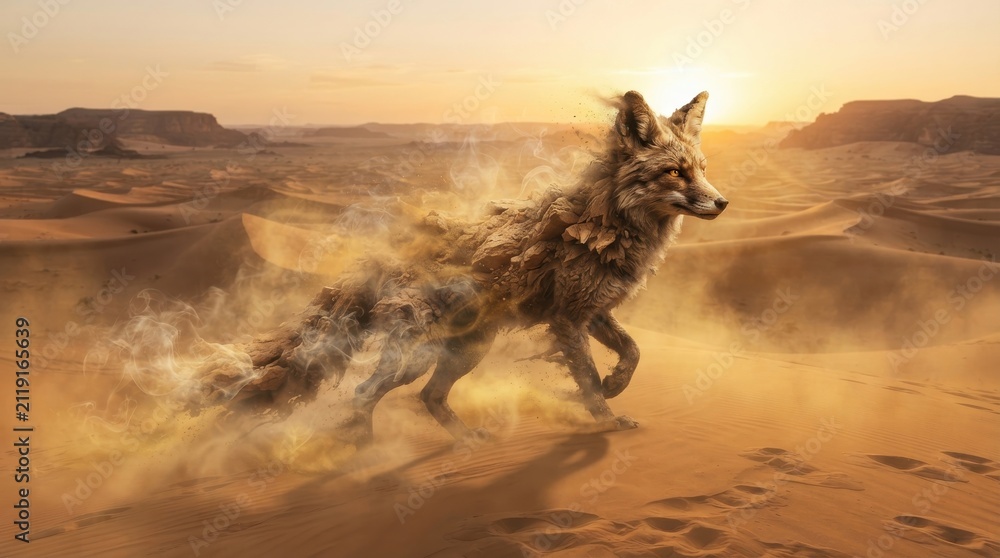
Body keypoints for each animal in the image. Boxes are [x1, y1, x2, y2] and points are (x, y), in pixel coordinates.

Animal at [232, 90, 728, 444]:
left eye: (702, 169)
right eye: (675, 173)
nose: (723, 202)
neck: (605, 221)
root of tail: (382, 258)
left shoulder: (594, 310)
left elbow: (633, 352)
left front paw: (614, 384)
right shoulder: (568, 318)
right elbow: (586, 377)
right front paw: (603, 418)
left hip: (467, 351)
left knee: (427, 396)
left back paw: (464, 440)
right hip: (417, 358)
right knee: (365, 392)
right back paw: (365, 452)